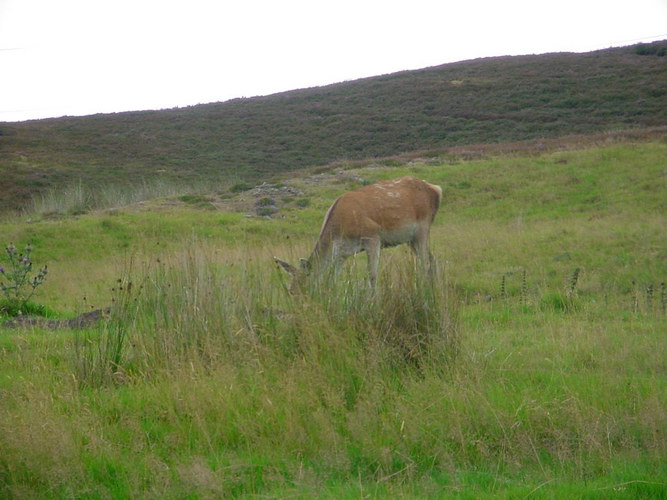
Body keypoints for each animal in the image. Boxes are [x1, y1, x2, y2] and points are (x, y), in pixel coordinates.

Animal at [274, 178, 440, 290]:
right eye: (290, 291)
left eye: (305, 286)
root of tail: (437, 189)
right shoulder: (342, 254)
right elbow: (332, 279)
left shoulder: (373, 237)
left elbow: (372, 275)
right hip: (411, 239)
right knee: (432, 259)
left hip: (423, 228)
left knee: (425, 262)